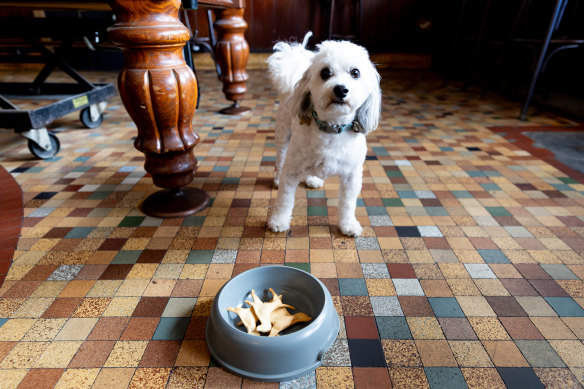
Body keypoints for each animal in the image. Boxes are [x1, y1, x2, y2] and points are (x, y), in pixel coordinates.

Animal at [266, 33, 384, 235]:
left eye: (355, 73)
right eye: (325, 73)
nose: (341, 89)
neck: (331, 129)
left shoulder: (352, 176)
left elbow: (347, 203)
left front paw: (347, 224)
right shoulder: (291, 171)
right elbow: (284, 200)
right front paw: (279, 221)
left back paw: (313, 179)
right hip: (283, 137)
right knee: (280, 160)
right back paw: (277, 178)